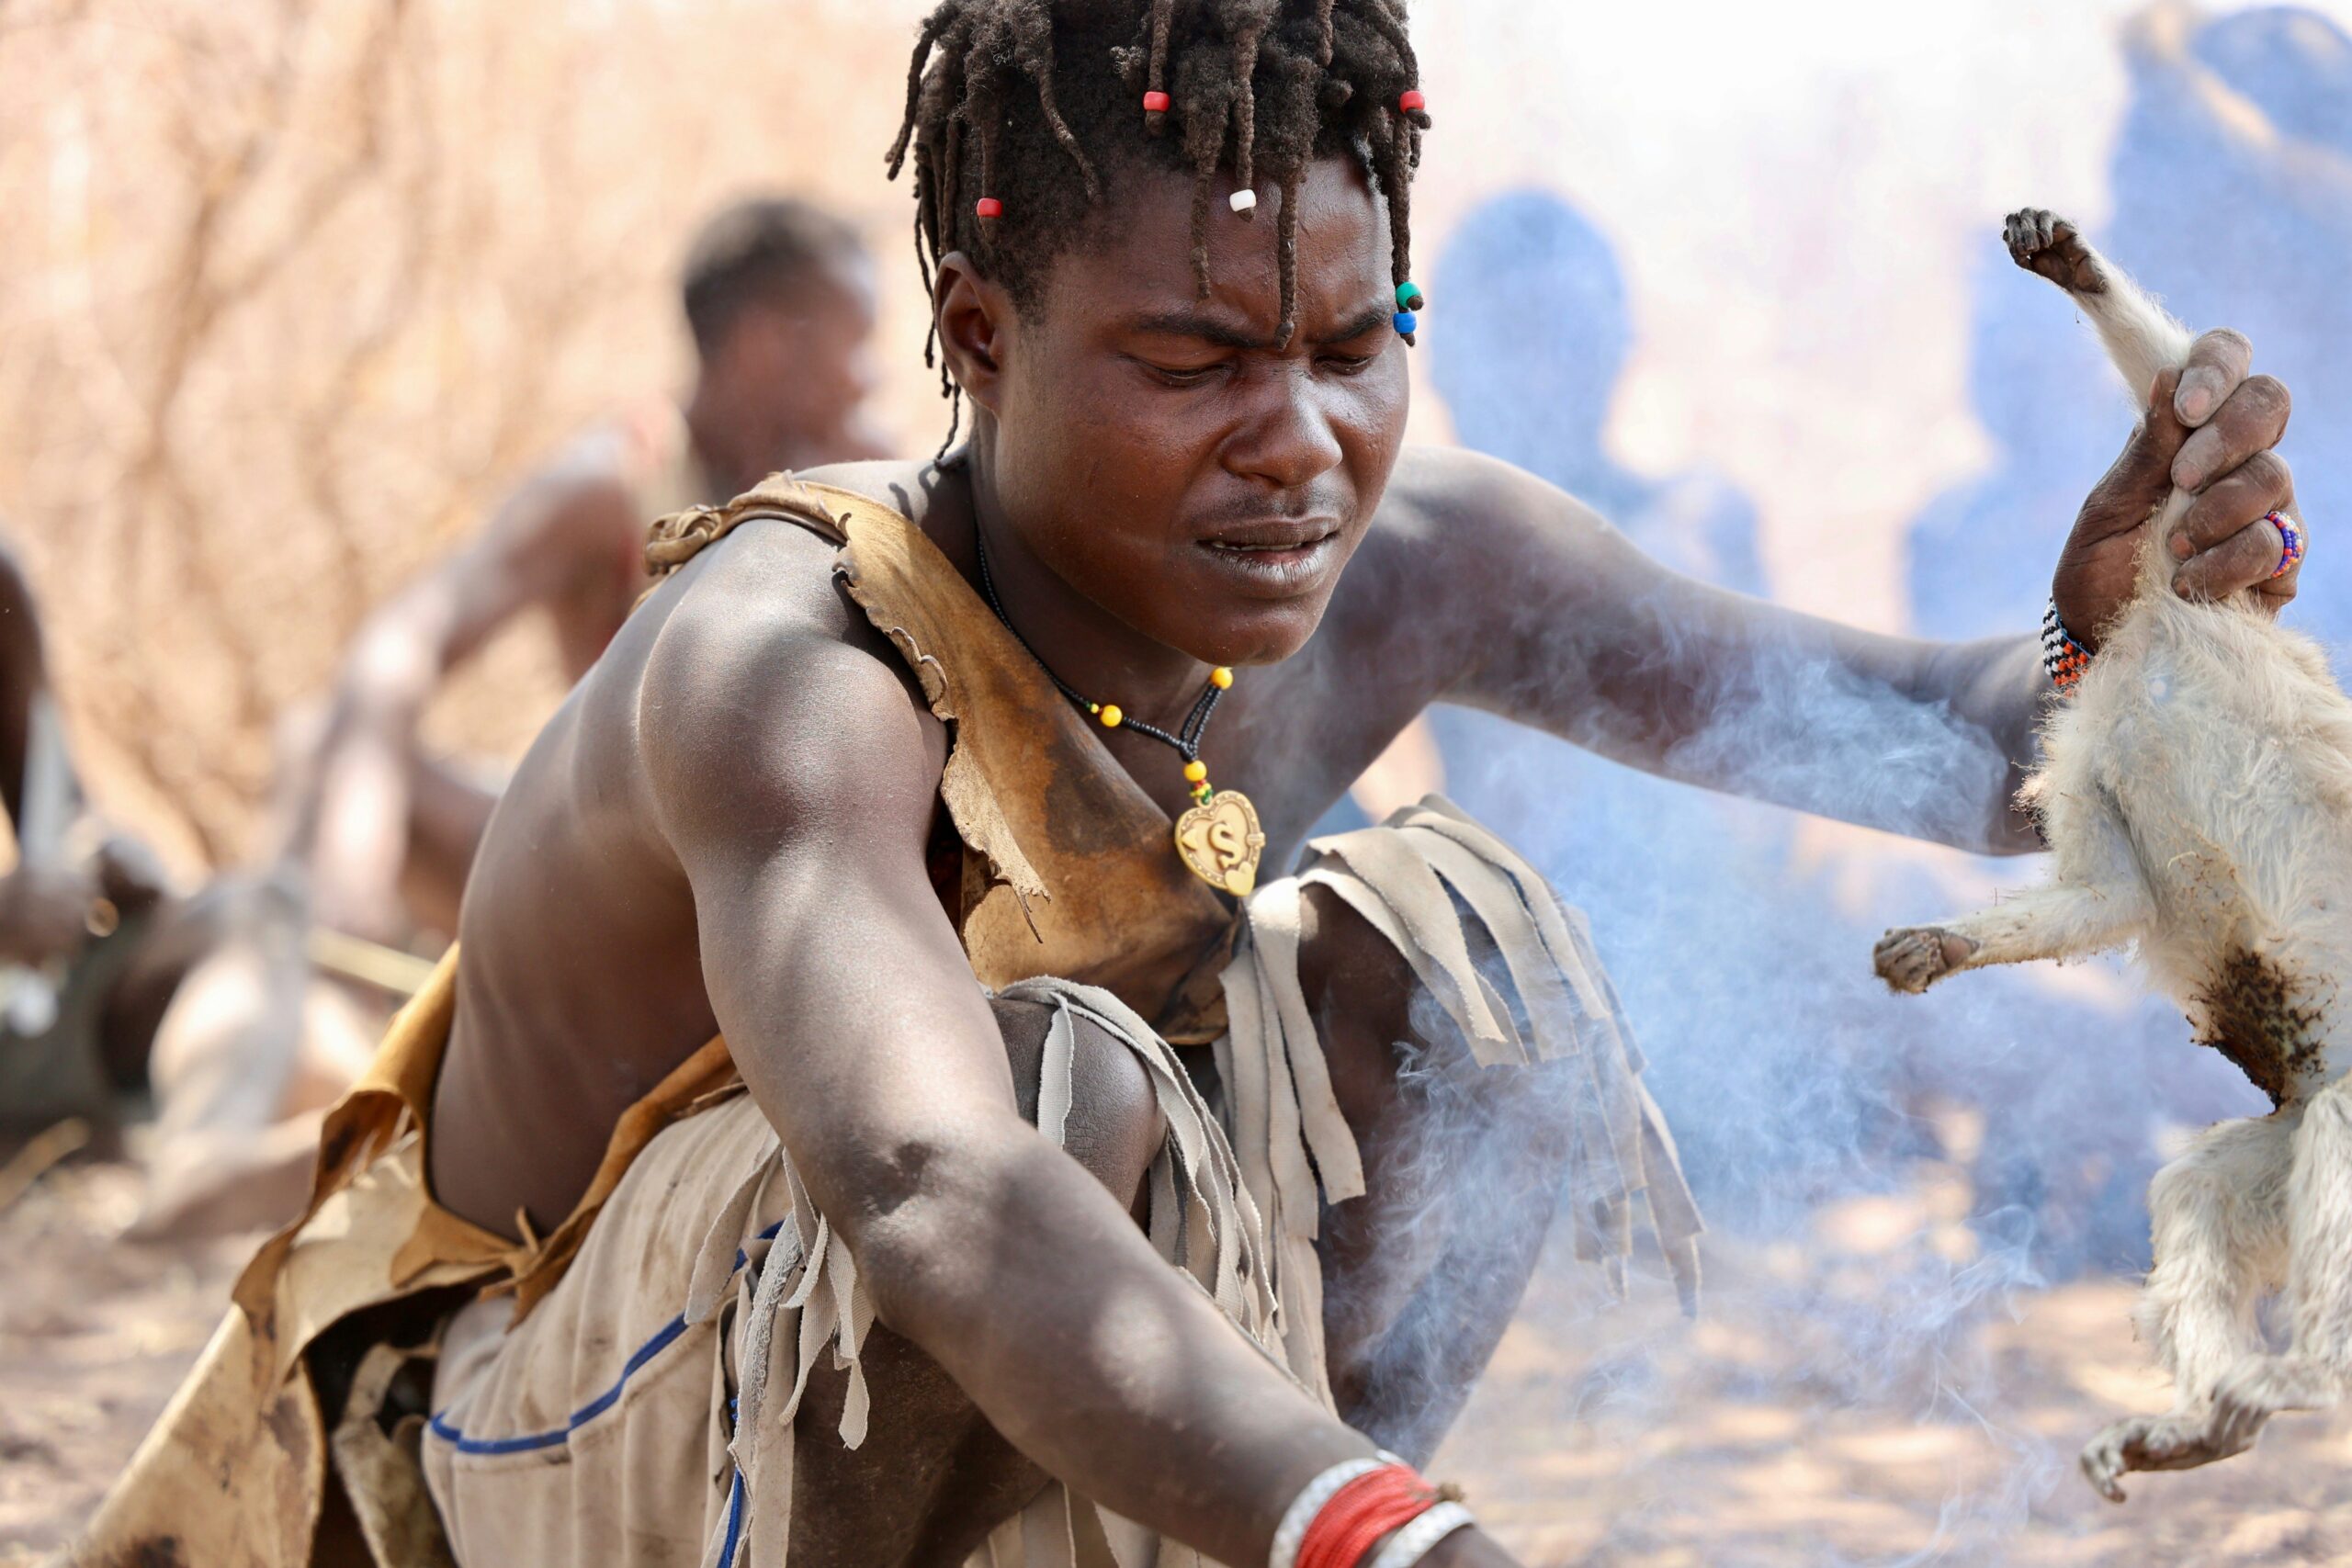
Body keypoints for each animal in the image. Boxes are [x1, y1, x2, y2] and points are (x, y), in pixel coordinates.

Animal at [1872, 209, 2352, 1503]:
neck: (2151, 643)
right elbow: (2103, 893)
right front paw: (1939, 943)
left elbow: (2176, 385)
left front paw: (2078, 271)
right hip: (2287, 1134)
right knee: (2206, 1186)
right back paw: (2216, 1418)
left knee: (2335, 1137)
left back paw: (2306, 1374)